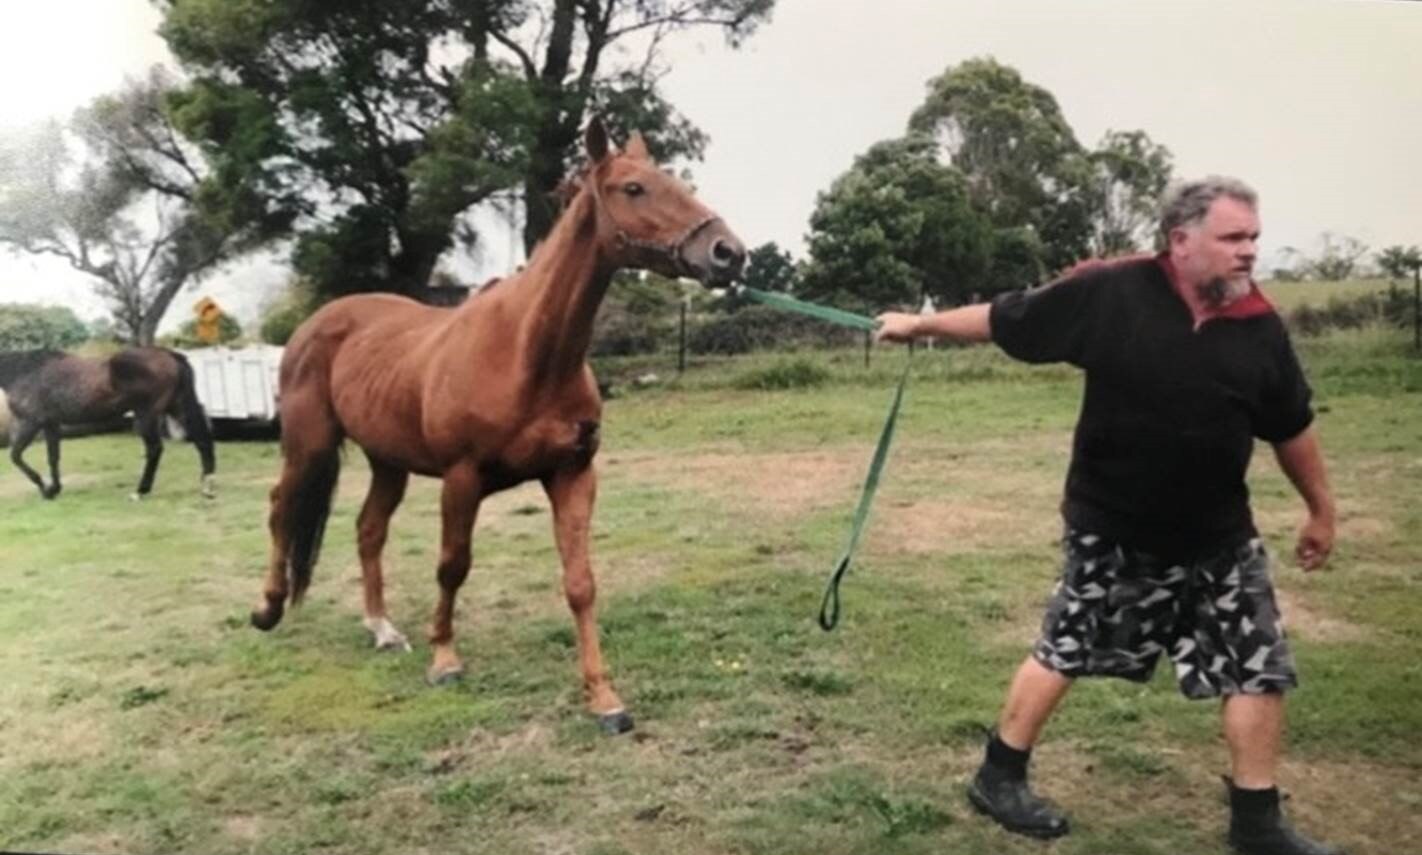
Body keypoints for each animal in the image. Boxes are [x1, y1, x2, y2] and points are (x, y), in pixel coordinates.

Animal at [0, 347, 216, 500]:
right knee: (202, 438)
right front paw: (53, 489)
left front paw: (44, 488)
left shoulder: (30, 423)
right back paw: (207, 486)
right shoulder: (50, 425)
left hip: (146, 415)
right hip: (177, 407)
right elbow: (53, 458)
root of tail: (170, 355)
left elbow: (16, 456)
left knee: (155, 449)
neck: (25, 372)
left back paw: (140, 491)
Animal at [249, 119, 746, 734]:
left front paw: (604, 697)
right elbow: (451, 567)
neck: (526, 353)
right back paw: (268, 608)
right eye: (633, 188)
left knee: (369, 529)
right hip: (309, 446)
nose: (728, 253)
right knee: (281, 508)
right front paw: (444, 659)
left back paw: (383, 629)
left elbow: (580, 583)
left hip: (387, 461)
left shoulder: (573, 475)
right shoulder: (463, 479)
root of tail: (316, 323)